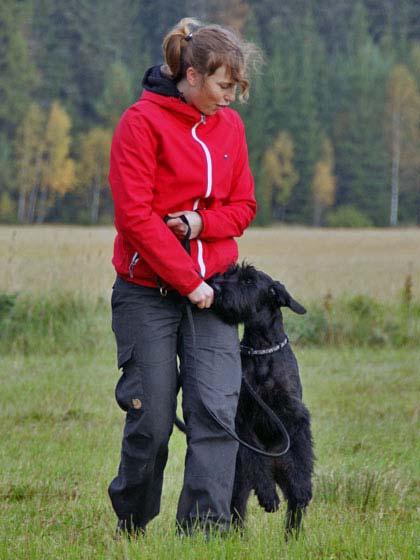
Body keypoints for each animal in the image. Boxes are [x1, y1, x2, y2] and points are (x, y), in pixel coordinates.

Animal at [208, 264, 314, 536]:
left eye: (249, 280)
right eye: (230, 273)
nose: (216, 286)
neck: (262, 350)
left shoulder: (293, 413)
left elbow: (301, 451)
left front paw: (303, 487)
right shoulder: (243, 418)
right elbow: (255, 457)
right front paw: (268, 495)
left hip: (283, 472)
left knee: (294, 510)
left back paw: (292, 537)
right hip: (240, 482)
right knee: (238, 509)